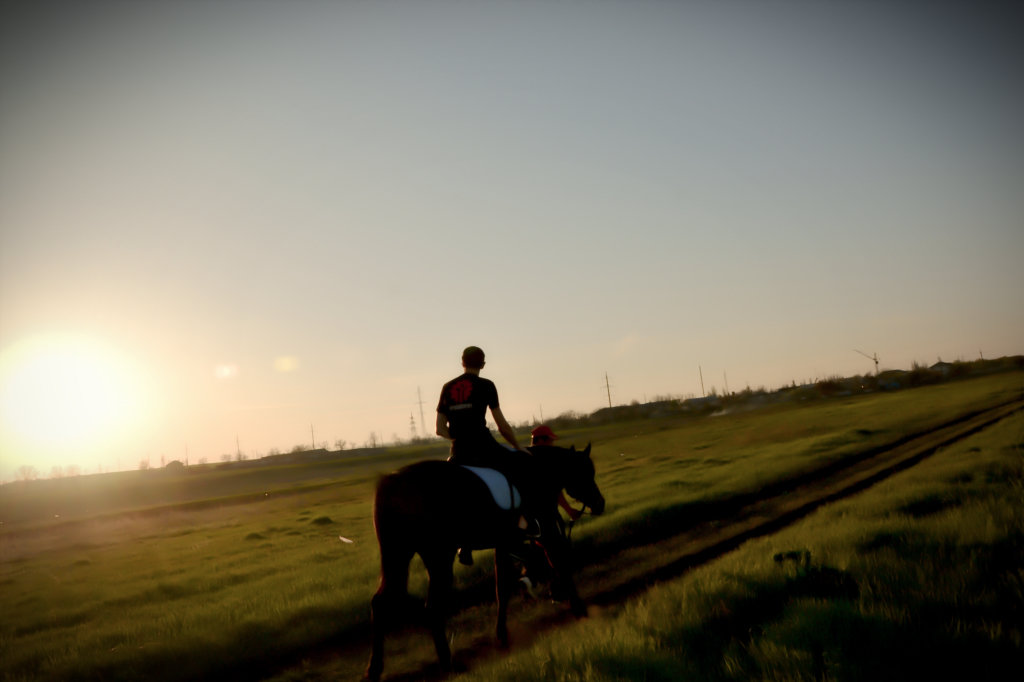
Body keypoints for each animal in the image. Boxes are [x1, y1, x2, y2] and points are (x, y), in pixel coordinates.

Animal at [366, 444, 598, 675]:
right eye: (587, 472)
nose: (600, 503)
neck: (538, 469)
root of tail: (392, 481)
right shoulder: (546, 531)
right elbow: (559, 563)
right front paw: (578, 608)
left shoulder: (505, 543)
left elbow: (502, 588)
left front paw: (502, 634)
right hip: (438, 556)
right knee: (431, 606)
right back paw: (447, 662)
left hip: (398, 554)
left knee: (381, 603)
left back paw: (375, 668)